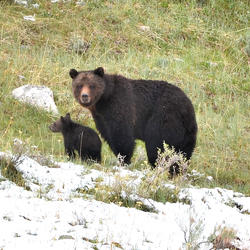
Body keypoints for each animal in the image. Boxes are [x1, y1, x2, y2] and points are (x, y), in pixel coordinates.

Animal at [69, 66, 197, 169]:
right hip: (187, 132)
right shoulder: (101, 118)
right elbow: (109, 135)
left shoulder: (120, 105)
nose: (85, 96)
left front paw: (124, 160)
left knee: (156, 144)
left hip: (164, 117)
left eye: (92, 85)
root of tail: (188, 106)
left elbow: (122, 136)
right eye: (79, 85)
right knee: (183, 152)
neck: (103, 100)